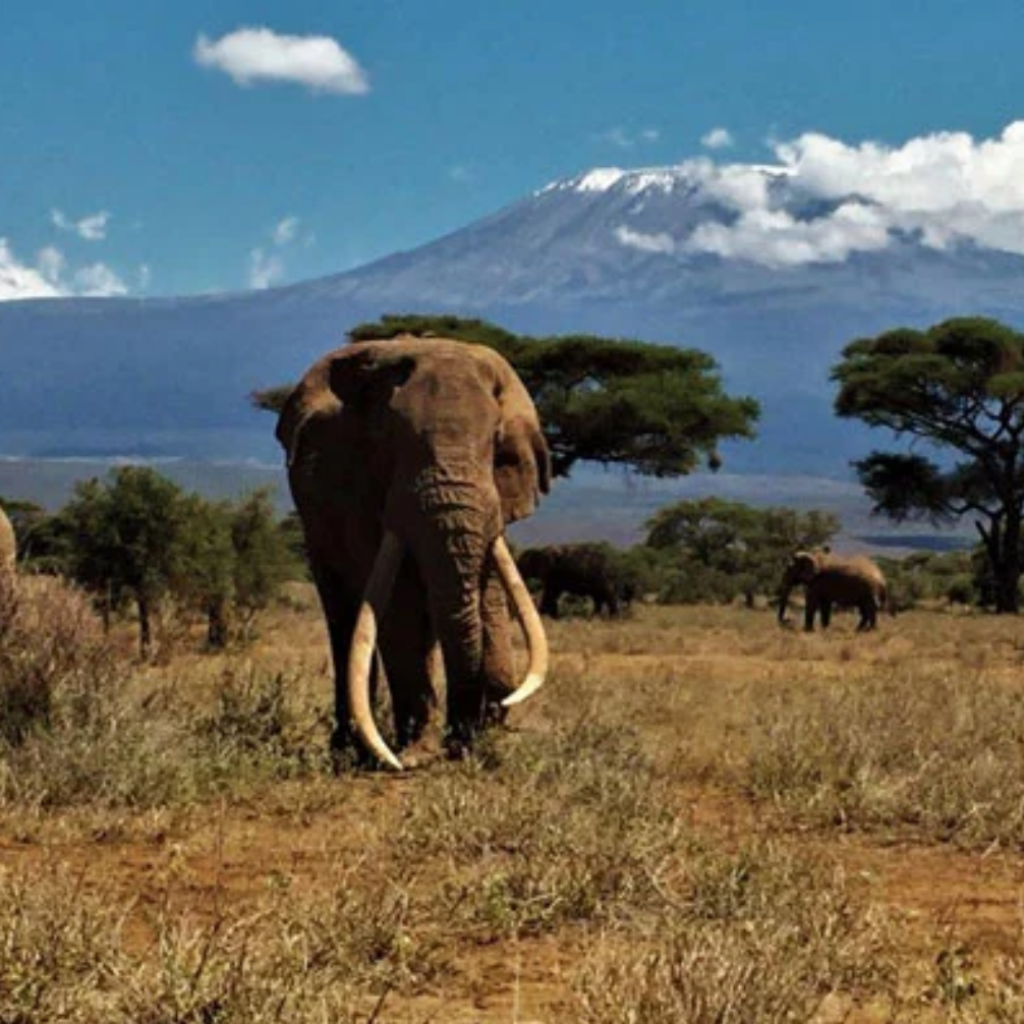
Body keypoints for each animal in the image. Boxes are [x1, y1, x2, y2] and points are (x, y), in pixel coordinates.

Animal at [276, 335, 552, 770]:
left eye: (495, 444)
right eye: (391, 443)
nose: (462, 739)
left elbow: (485, 587)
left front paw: (478, 740)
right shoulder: (361, 492)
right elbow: (399, 603)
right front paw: (417, 755)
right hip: (314, 525)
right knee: (344, 615)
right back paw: (353, 752)